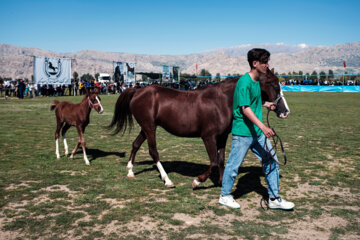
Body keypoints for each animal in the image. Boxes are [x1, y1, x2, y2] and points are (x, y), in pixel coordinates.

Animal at [107, 68, 290, 188]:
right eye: (274, 85)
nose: (285, 111)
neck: (221, 101)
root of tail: (137, 91)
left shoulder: (222, 137)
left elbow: (221, 160)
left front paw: (221, 183)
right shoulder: (208, 137)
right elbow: (214, 162)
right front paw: (197, 181)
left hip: (146, 128)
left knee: (136, 144)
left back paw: (130, 171)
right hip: (149, 127)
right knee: (153, 151)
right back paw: (167, 180)